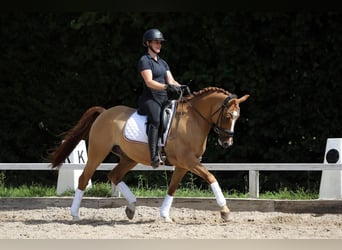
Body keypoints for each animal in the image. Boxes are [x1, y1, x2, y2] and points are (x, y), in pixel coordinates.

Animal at [50, 87, 248, 222]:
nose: (226, 143)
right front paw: (225, 211)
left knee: (114, 175)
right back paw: (75, 214)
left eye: (237, 117)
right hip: (98, 152)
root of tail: (105, 113)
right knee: (84, 178)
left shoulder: (183, 165)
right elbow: (211, 177)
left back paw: (131, 208)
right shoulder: (189, 161)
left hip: (129, 158)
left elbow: (172, 188)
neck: (192, 120)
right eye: (228, 116)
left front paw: (165, 215)